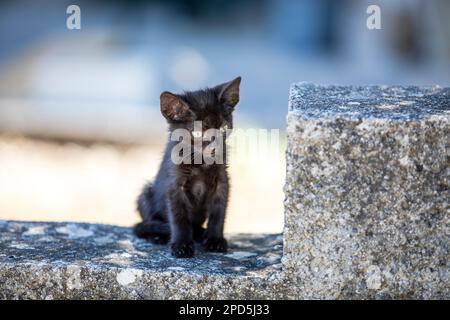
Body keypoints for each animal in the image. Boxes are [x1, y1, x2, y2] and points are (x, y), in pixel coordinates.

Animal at [135, 77, 241, 258]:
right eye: (197, 133)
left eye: (223, 128)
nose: (216, 148)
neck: (200, 163)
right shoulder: (175, 186)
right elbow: (180, 217)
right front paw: (181, 245)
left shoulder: (222, 182)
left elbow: (218, 212)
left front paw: (215, 240)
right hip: (145, 194)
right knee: (146, 224)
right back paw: (157, 236)